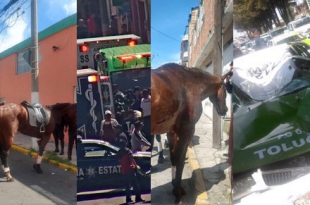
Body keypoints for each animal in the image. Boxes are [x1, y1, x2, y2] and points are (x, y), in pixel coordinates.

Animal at [151, 62, 229, 203]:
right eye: (225, 90)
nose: (225, 110)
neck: (190, 82)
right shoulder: (186, 130)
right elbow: (180, 159)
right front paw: (178, 194)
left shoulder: (172, 132)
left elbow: (174, 158)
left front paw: (176, 187)